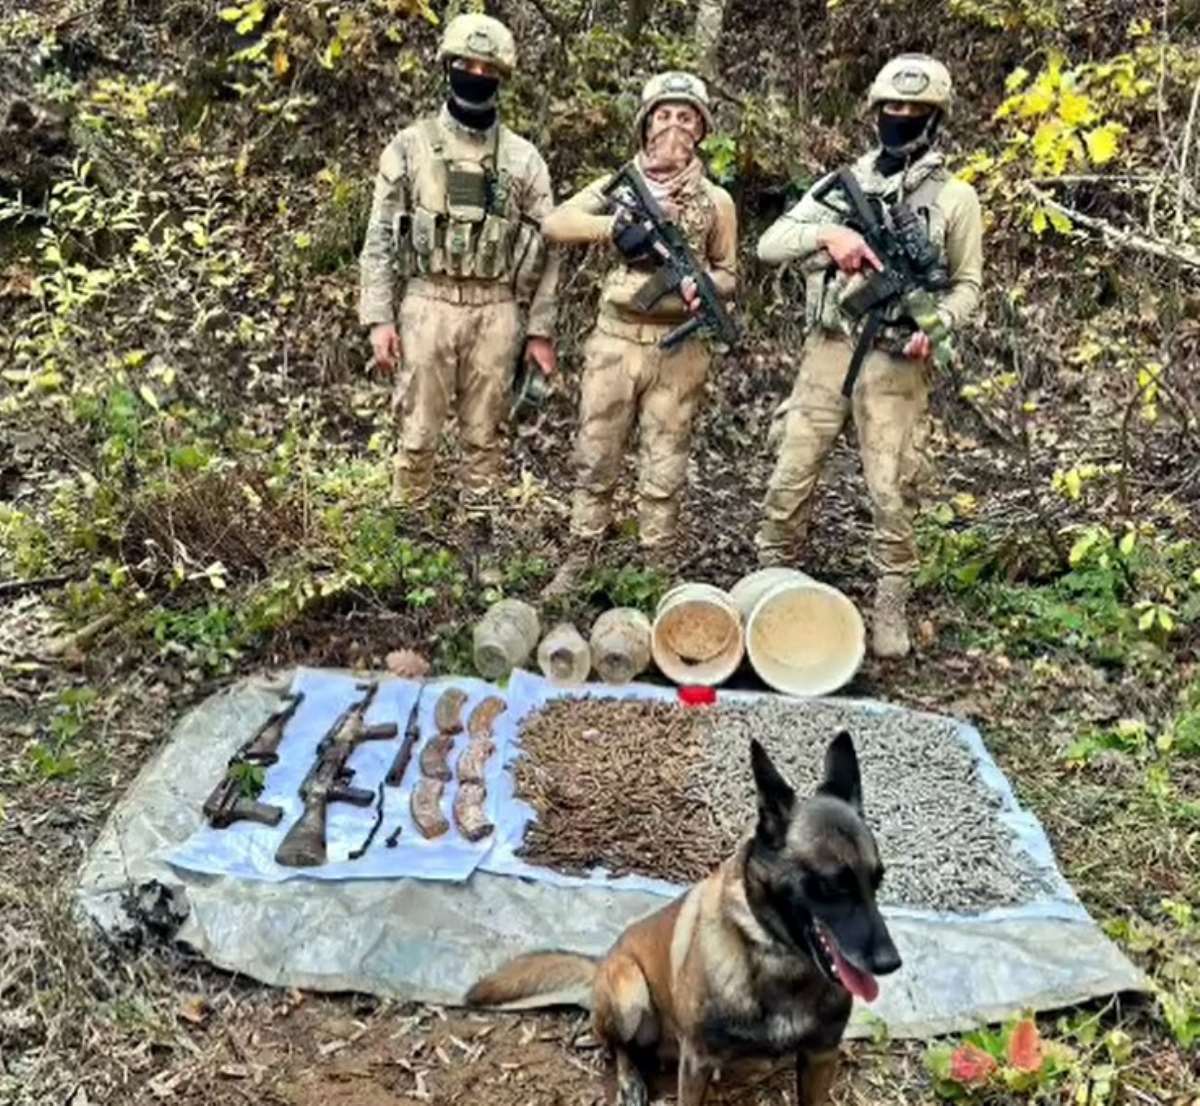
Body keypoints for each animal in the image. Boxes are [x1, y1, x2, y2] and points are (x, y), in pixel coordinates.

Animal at [465, 729, 902, 1098]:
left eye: (877, 880)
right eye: (831, 886)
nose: (891, 963)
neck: (779, 960)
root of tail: (602, 960)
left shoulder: (820, 1056)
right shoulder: (697, 1062)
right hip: (631, 995)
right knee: (617, 1046)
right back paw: (631, 1080)